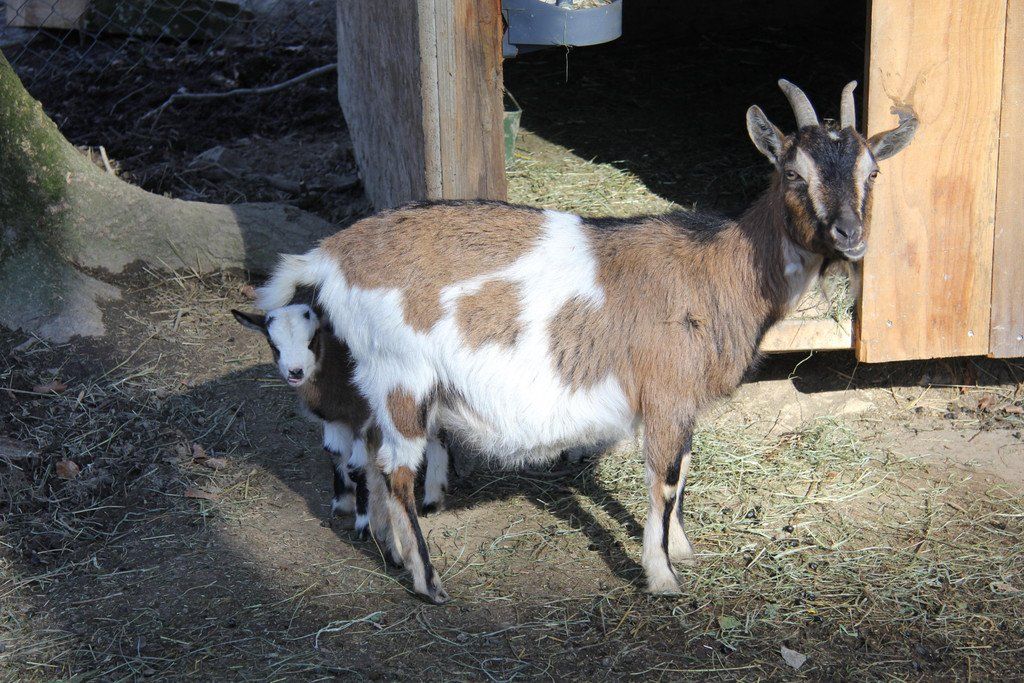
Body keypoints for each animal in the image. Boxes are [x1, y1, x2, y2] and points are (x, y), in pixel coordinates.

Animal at [231, 305, 450, 541]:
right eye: (273, 344)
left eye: (312, 339)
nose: (295, 372)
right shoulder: (333, 418)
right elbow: (334, 452)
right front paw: (342, 503)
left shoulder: (362, 417)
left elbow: (357, 466)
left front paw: (364, 524)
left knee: (435, 433)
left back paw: (432, 500)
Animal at [257, 80, 917, 603]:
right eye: (793, 174)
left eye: (873, 172)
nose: (850, 235)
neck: (717, 269)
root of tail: (330, 255)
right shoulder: (666, 392)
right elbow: (665, 478)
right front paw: (662, 575)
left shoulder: (680, 401)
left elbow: (684, 469)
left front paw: (682, 548)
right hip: (401, 378)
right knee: (396, 468)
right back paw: (428, 581)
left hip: (374, 382)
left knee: (370, 456)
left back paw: (392, 552)